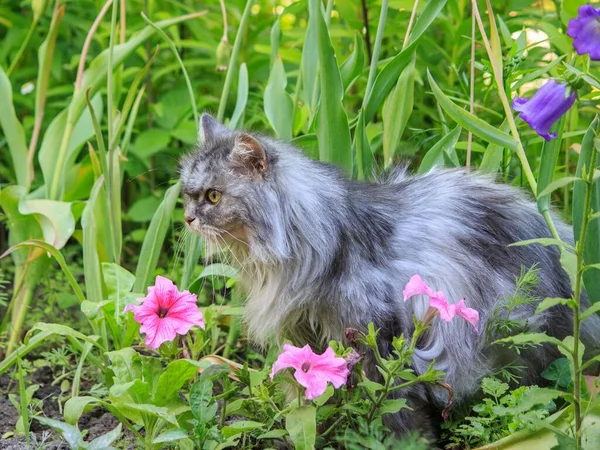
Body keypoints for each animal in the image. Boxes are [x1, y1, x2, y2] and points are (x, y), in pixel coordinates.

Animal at [179, 114, 600, 438]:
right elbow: (305, 394)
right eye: (186, 194)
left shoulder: (374, 332)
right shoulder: (304, 336)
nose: (187, 218)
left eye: (213, 196)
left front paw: (401, 441)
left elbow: (390, 402)